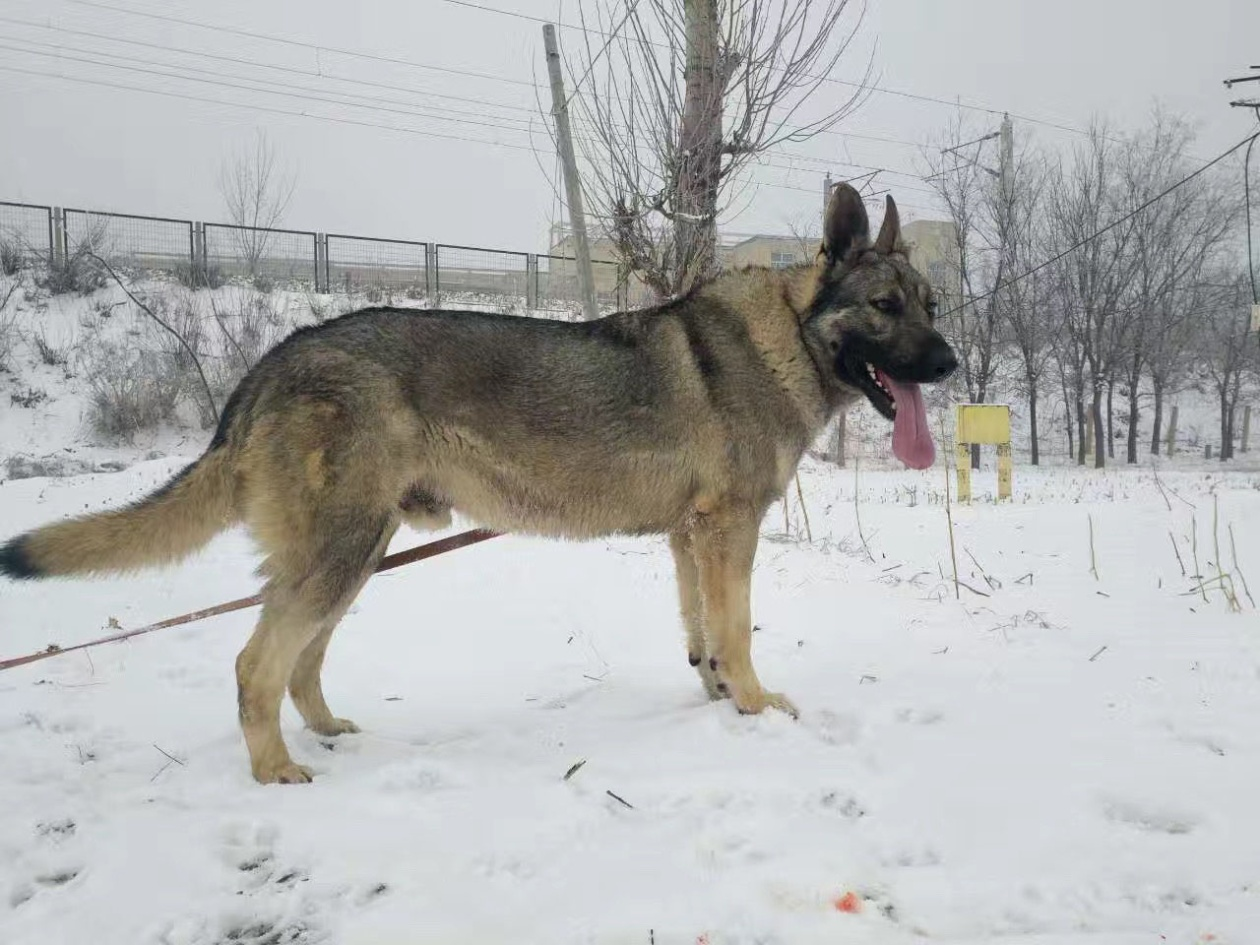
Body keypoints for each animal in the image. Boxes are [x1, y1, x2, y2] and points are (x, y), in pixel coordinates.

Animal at [0, 182, 952, 786]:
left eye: (933, 305)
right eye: (886, 307)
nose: (949, 364)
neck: (787, 335)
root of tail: (270, 364)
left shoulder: (692, 538)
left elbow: (704, 638)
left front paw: (720, 702)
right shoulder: (730, 532)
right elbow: (739, 633)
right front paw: (756, 708)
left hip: (355, 555)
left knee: (300, 662)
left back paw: (327, 732)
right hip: (341, 555)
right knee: (253, 662)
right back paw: (274, 768)